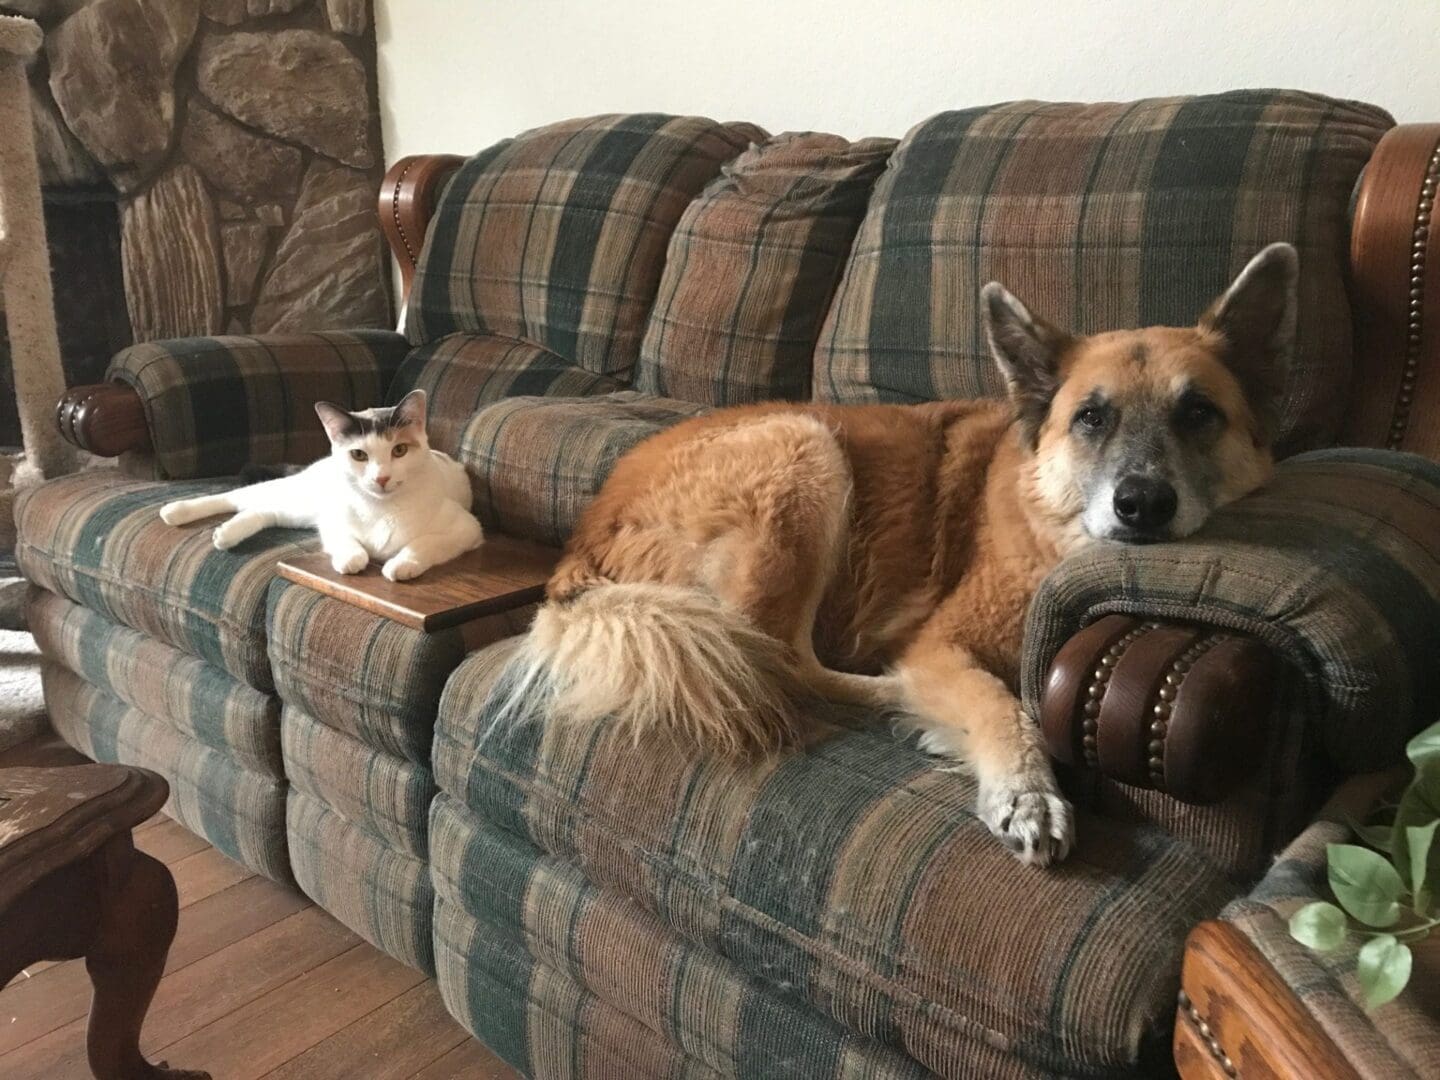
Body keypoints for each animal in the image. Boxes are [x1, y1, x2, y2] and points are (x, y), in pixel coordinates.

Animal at [158, 388, 483, 584]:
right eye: (359, 454)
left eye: (400, 450)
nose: (381, 478)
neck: (380, 508)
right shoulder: (332, 522)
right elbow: (350, 545)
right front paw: (351, 558)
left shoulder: (467, 528)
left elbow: (426, 542)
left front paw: (401, 564)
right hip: (298, 497)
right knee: (237, 496)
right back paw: (177, 511)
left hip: (297, 512)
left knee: (263, 510)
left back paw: (226, 533)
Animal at [501, 240, 1301, 869]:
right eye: (1091, 418)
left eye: (1197, 412)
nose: (1142, 503)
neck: (1050, 533)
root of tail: (585, 538)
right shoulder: (945, 641)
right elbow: (999, 702)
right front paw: (1027, 790)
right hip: (805, 448)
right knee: (780, 658)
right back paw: (893, 689)